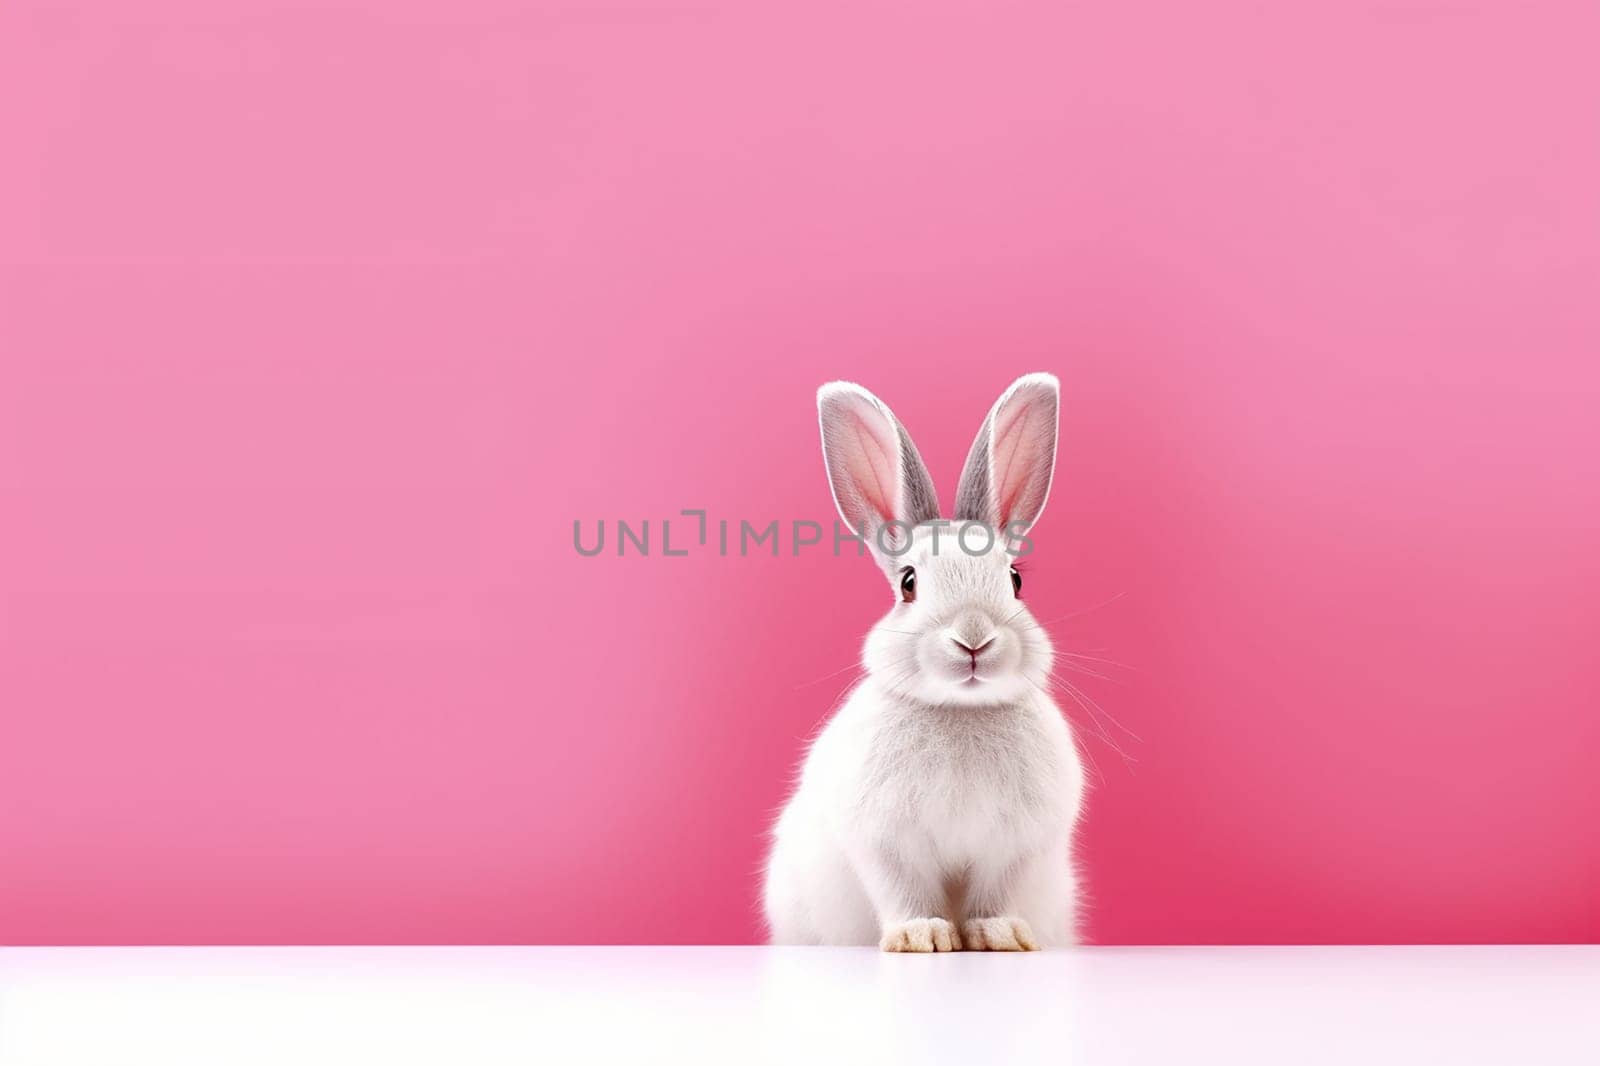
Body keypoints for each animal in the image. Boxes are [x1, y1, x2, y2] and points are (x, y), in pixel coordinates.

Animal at [761, 371, 1088, 947]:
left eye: (1015, 580)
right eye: (908, 583)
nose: (973, 639)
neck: (961, 712)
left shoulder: (1014, 848)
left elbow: (993, 896)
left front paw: (1000, 935)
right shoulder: (886, 843)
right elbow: (905, 893)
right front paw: (922, 938)